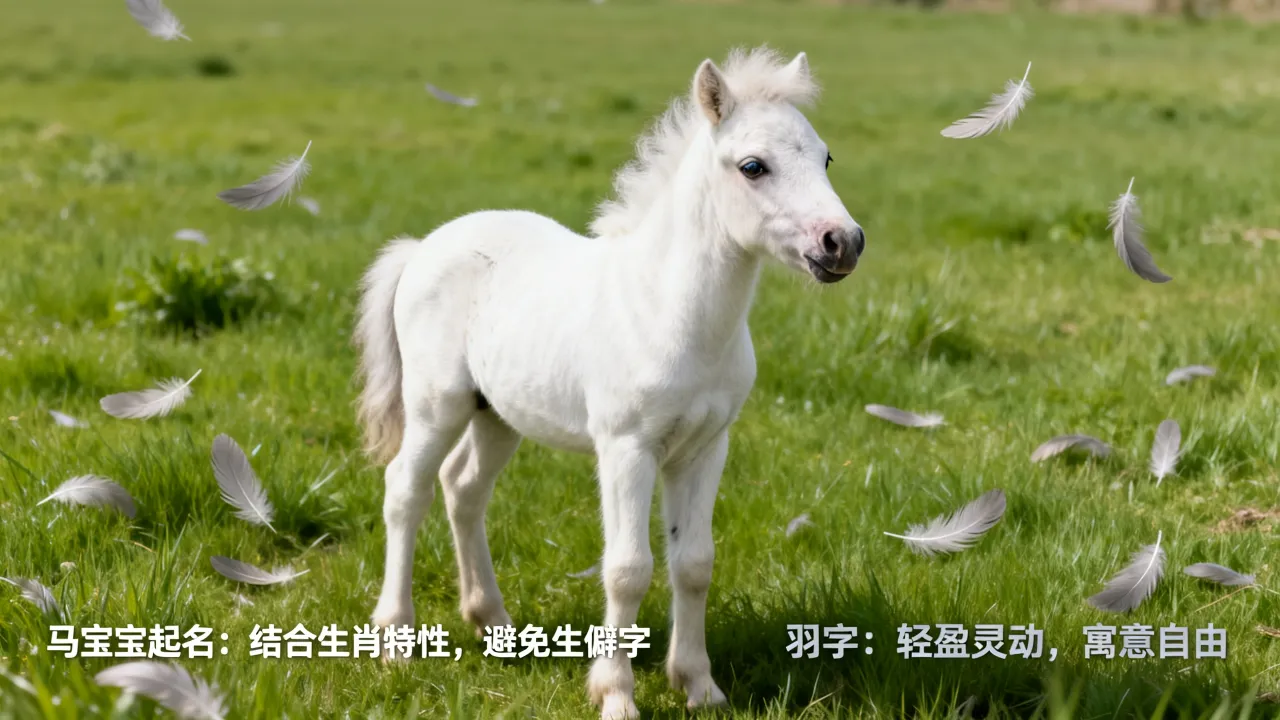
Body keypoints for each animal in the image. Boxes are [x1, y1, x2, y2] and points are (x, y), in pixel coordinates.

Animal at [354, 46, 864, 719]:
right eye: (753, 166)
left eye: (825, 157)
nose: (843, 242)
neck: (670, 310)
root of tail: (421, 248)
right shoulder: (627, 447)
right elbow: (627, 568)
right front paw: (615, 693)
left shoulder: (705, 447)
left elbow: (693, 562)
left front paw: (699, 686)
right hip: (437, 403)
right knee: (405, 490)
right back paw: (395, 639)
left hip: (497, 413)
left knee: (463, 488)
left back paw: (494, 623)